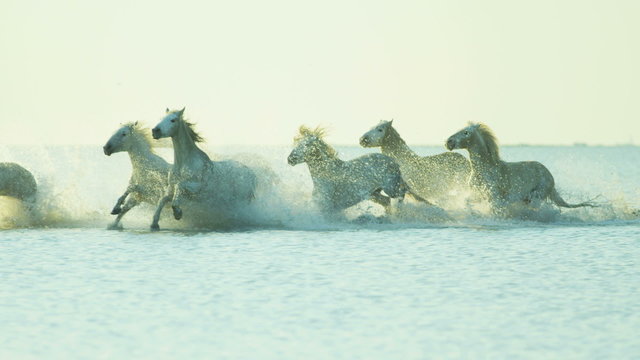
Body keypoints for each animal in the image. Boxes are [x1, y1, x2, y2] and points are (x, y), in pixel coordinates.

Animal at [288, 125, 428, 218]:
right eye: (298, 144)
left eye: (307, 145)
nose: (290, 159)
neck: (327, 174)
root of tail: (393, 161)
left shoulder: (327, 208)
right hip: (373, 194)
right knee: (387, 201)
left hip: (391, 188)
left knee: (401, 193)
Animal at [444, 122, 596, 215]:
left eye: (466, 132)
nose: (448, 142)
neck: (483, 170)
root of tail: (549, 176)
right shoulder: (477, 194)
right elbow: (466, 202)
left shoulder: (495, 198)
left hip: (536, 197)